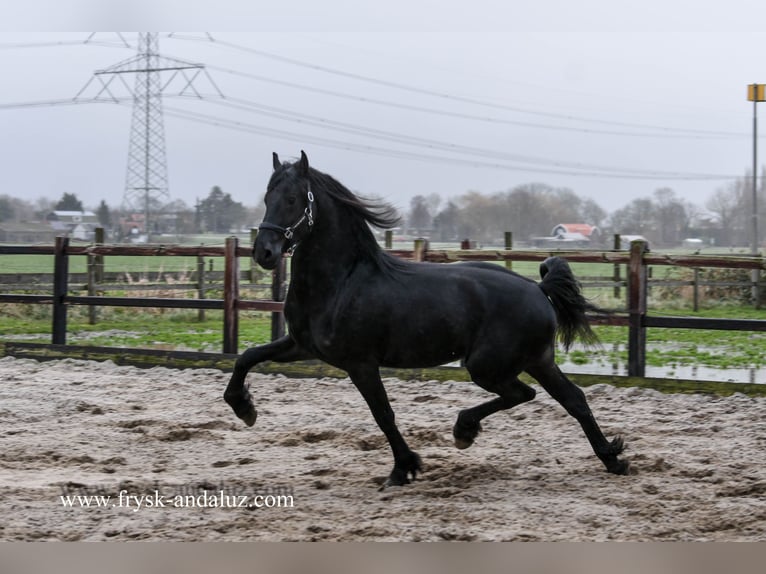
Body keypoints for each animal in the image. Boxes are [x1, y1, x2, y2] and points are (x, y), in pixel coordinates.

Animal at [224, 151, 632, 488]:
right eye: (267, 197)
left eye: (292, 199)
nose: (264, 252)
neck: (343, 281)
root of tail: (538, 287)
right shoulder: (302, 346)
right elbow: (247, 357)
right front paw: (245, 408)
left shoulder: (360, 363)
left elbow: (383, 414)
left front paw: (403, 469)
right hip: (537, 359)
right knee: (573, 399)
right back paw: (613, 459)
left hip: (487, 365)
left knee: (523, 393)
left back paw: (464, 430)